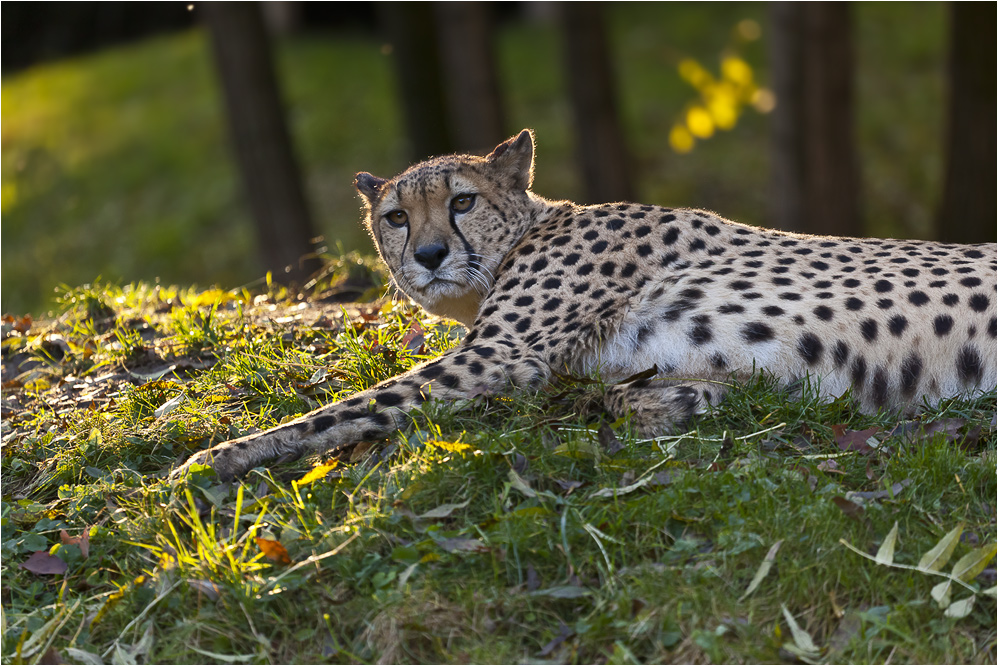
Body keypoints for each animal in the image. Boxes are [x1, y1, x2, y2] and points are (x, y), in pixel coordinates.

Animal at [174, 130, 998, 480]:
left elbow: (342, 409)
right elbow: (631, 392)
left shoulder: (500, 353)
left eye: (462, 201)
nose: (429, 255)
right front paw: (676, 404)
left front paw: (210, 459)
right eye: (397, 218)